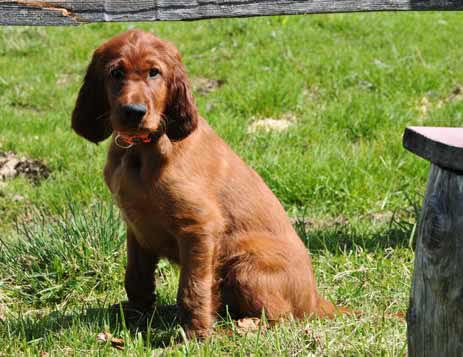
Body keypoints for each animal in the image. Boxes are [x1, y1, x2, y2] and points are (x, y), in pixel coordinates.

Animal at [71, 29, 340, 336]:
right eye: (116, 73)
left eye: (154, 72)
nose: (134, 111)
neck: (140, 149)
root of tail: (314, 299)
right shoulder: (137, 228)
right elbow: (136, 277)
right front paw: (134, 315)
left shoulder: (199, 226)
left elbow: (192, 287)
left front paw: (195, 333)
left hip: (244, 265)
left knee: (281, 318)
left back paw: (241, 326)